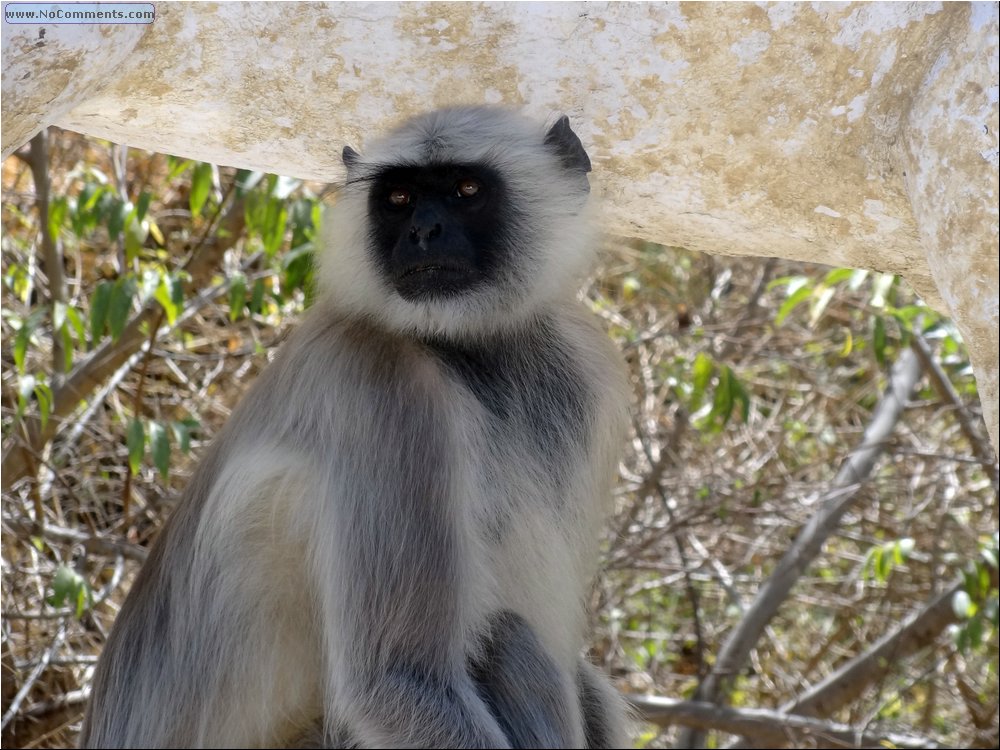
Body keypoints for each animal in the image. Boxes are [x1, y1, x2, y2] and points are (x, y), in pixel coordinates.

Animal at [82, 107, 628, 750]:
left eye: (467, 189)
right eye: (399, 197)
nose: (423, 232)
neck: (473, 350)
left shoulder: (585, 366)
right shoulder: (383, 388)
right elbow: (394, 681)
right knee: (503, 640)